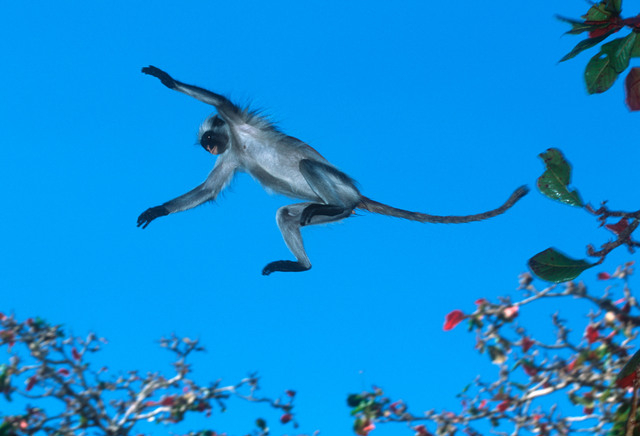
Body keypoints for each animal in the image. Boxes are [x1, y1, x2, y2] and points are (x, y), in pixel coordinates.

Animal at [137, 66, 529, 275]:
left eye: (209, 140)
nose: (210, 148)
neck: (237, 140)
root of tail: (356, 196)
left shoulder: (235, 121)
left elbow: (219, 100)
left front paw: (166, 79)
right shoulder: (232, 156)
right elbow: (207, 191)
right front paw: (157, 211)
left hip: (338, 186)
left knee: (308, 164)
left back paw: (336, 209)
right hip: (318, 206)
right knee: (287, 213)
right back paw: (304, 263)